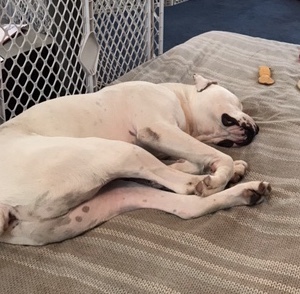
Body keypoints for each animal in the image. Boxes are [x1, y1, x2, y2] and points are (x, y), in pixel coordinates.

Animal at [0, 74, 272, 246]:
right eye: (238, 104)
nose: (258, 129)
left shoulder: (166, 142)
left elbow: (192, 158)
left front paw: (224, 170)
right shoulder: (157, 129)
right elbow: (213, 157)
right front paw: (220, 174)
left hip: (109, 199)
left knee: (187, 206)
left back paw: (248, 191)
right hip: (119, 152)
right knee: (184, 186)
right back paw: (207, 182)